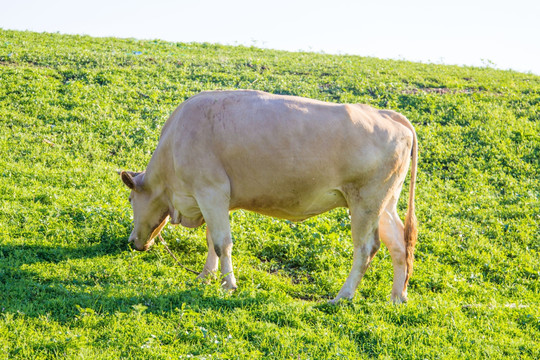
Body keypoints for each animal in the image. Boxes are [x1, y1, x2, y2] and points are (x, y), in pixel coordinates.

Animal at [121, 88, 418, 302]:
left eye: (130, 199)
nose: (132, 241)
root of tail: (387, 114)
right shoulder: (211, 199)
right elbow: (211, 240)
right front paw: (206, 276)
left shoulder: (211, 190)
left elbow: (221, 242)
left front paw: (228, 284)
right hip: (385, 203)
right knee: (399, 244)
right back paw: (397, 297)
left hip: (365, 202)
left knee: (366, 248)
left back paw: (342, 296)